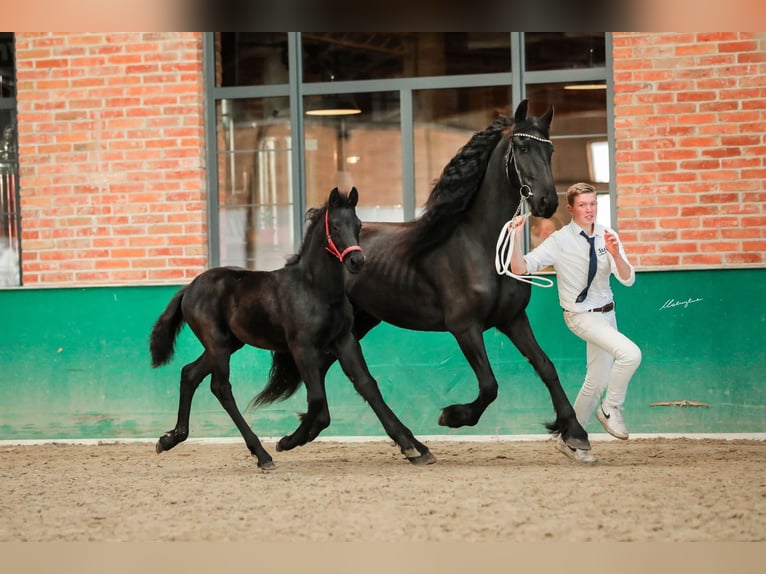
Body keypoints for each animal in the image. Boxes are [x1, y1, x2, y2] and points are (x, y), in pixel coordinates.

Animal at [149, 187, 433, 469]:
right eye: (335, 225)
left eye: (359, 225)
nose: (357, 261)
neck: (315, 289)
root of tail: (188, 289)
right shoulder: (302, 347)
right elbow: (318, 401)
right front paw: (288, 441)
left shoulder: (344, 341)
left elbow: (366, 385)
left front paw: (412, 448)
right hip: (217, 343)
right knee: (220, 387)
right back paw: (262, 455)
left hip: (229, 343)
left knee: (190, 373)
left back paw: (170, 438)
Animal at [257, 100, 591, 457]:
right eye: (522, 146)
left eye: (550, 150)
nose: (548, 202)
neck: (479, 244)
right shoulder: (465, 328)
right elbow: (489, 385)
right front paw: (452, 416)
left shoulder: (512, 319)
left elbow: (546, 366)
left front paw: (575, 432)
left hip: (357, 324)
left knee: (322, 371)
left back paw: (301, 435)